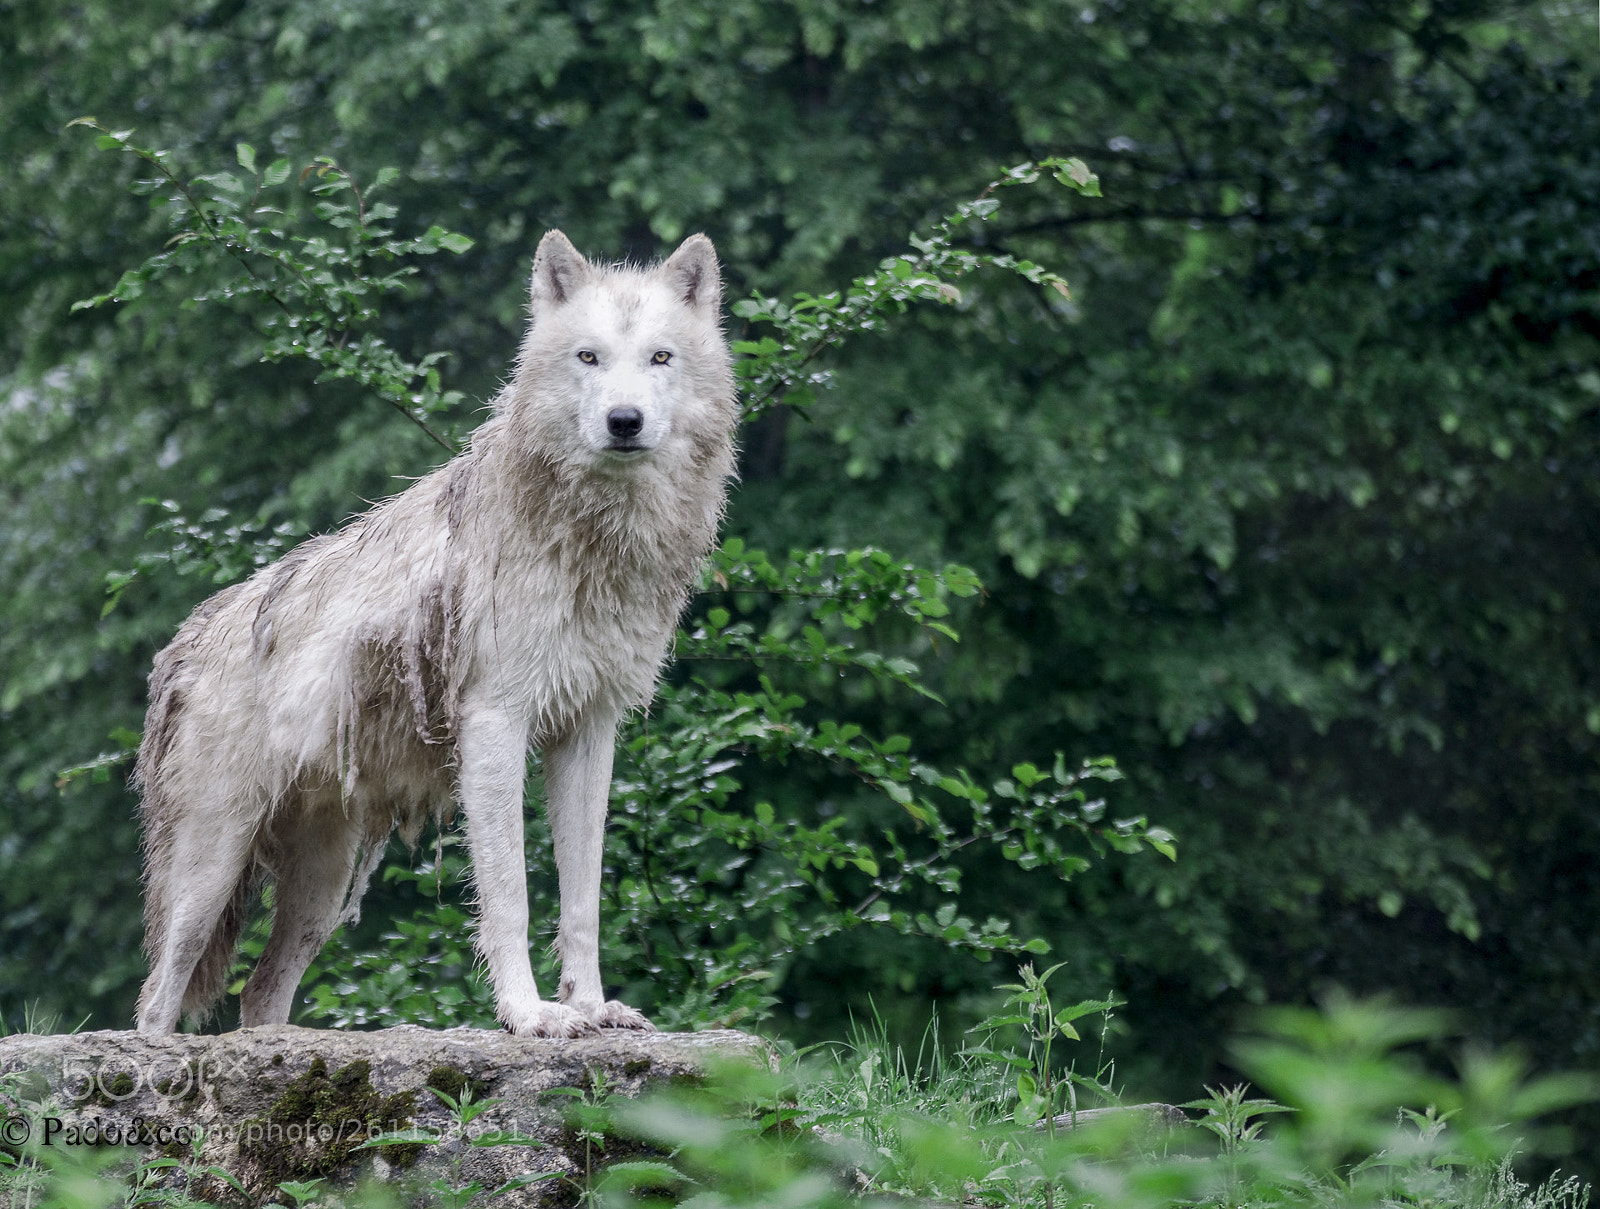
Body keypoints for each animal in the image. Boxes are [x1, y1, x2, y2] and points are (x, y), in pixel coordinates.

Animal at [132, 231, 736, 1038]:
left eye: (660, 358)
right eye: (589, 357)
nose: (625, 421)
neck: (590, 543)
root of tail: (185, 644)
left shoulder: (589, 729)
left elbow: (581, 899)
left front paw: (591, 1008)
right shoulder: (495, 725)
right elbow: (510, 896)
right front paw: (530, 1015)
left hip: (321, 890)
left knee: (259, 993)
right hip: (208, 875)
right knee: (155, 1003)